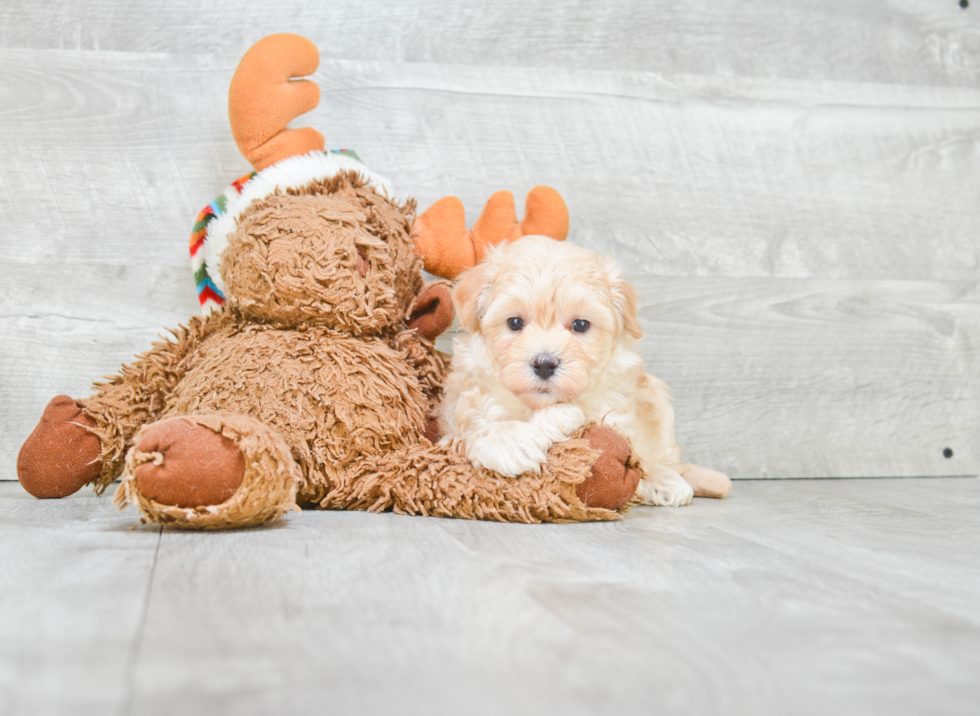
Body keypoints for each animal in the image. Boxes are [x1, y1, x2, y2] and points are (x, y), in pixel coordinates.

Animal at [440, 235, 732, 504]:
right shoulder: (464, 406)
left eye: (581, 325)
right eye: (514, 322)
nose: (544, 363)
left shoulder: (615, 410)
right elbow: (480, 423)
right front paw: (510, 442)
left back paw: (667, 479)